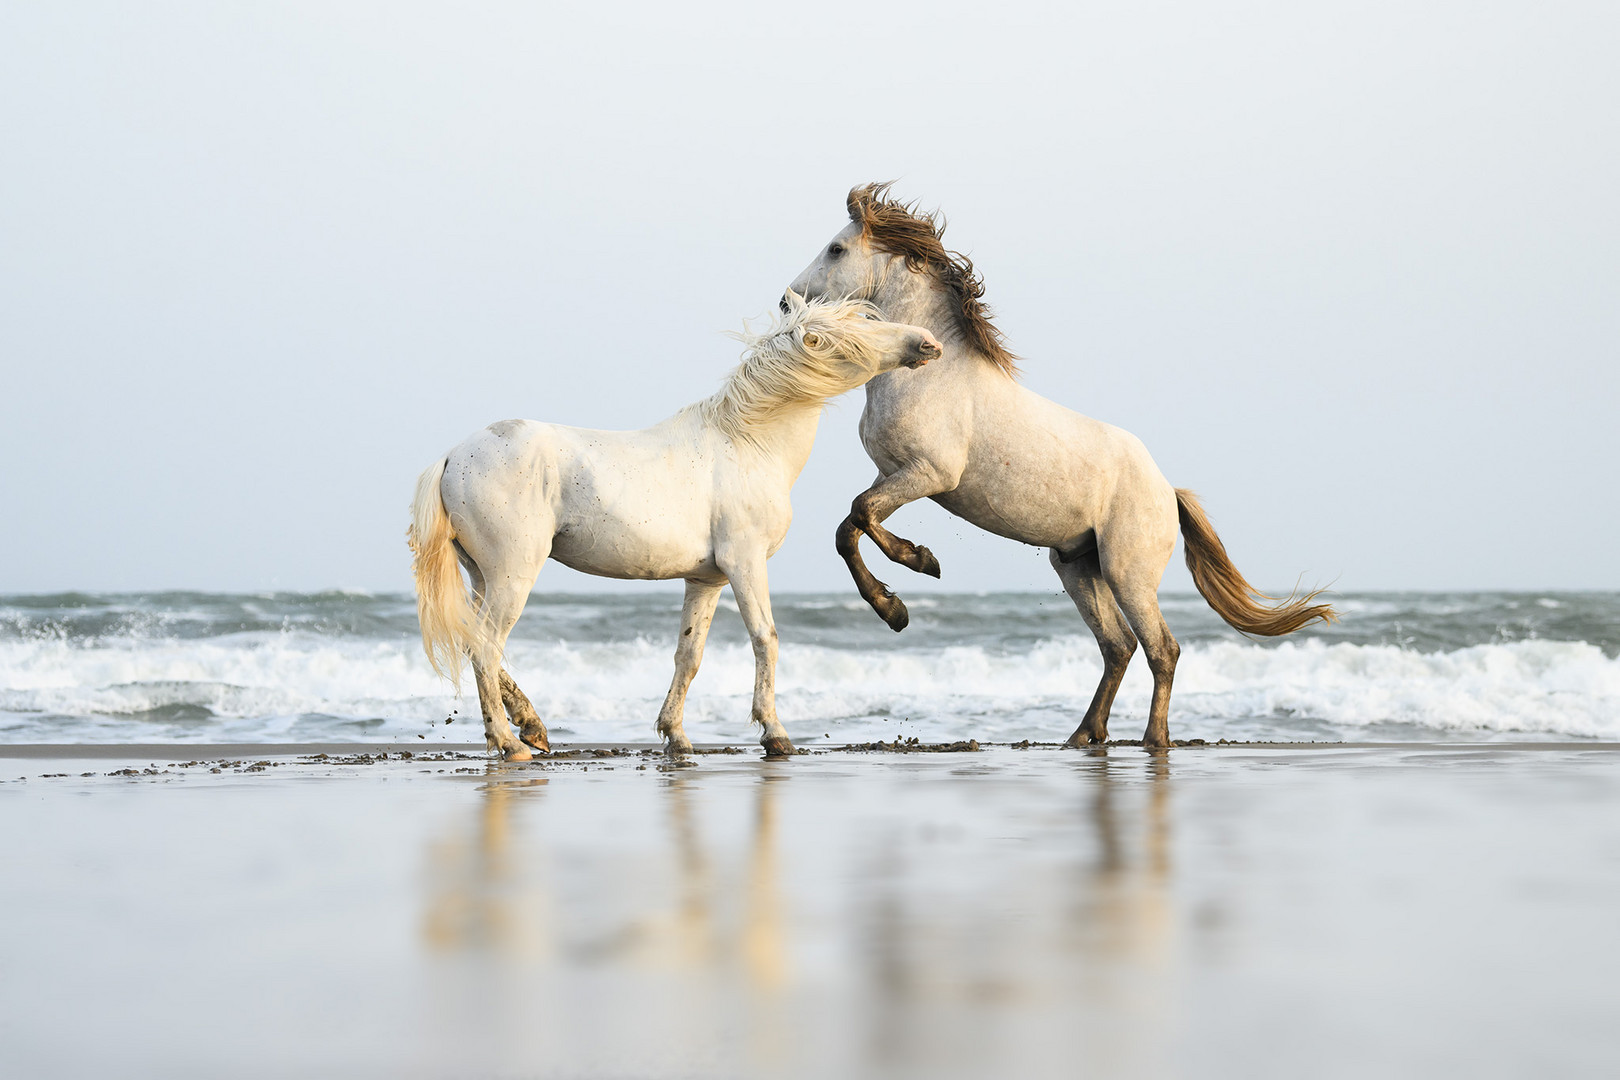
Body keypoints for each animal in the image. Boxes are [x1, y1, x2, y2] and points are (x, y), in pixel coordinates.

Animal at [408, 296, 939, 761]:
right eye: (861, 326)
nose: (927, 342)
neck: (749, 443)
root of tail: (453, 456)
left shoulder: (706, 579)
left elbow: (690, 655)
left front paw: (676, 737)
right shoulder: (745, 563)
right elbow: (765, 638)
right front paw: (775, 734)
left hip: (483, 575)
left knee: (479, 644)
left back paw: (532, 727)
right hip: (513, 572)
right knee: (485, 646)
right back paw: (511, 743)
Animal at [790, 181, 1334, 748]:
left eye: (836, 249)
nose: (787, 299)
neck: (931, 373)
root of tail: (1168, 492)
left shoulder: (930, 474)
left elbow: (860, 515)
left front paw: (918, 569)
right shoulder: (894, 473)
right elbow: (849, 528)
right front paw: (897, 605)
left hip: (1127, 573)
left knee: (1161, 648)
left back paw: (1152, 738)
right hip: (1077, 566)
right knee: (1118, 646)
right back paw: (1084, 734)